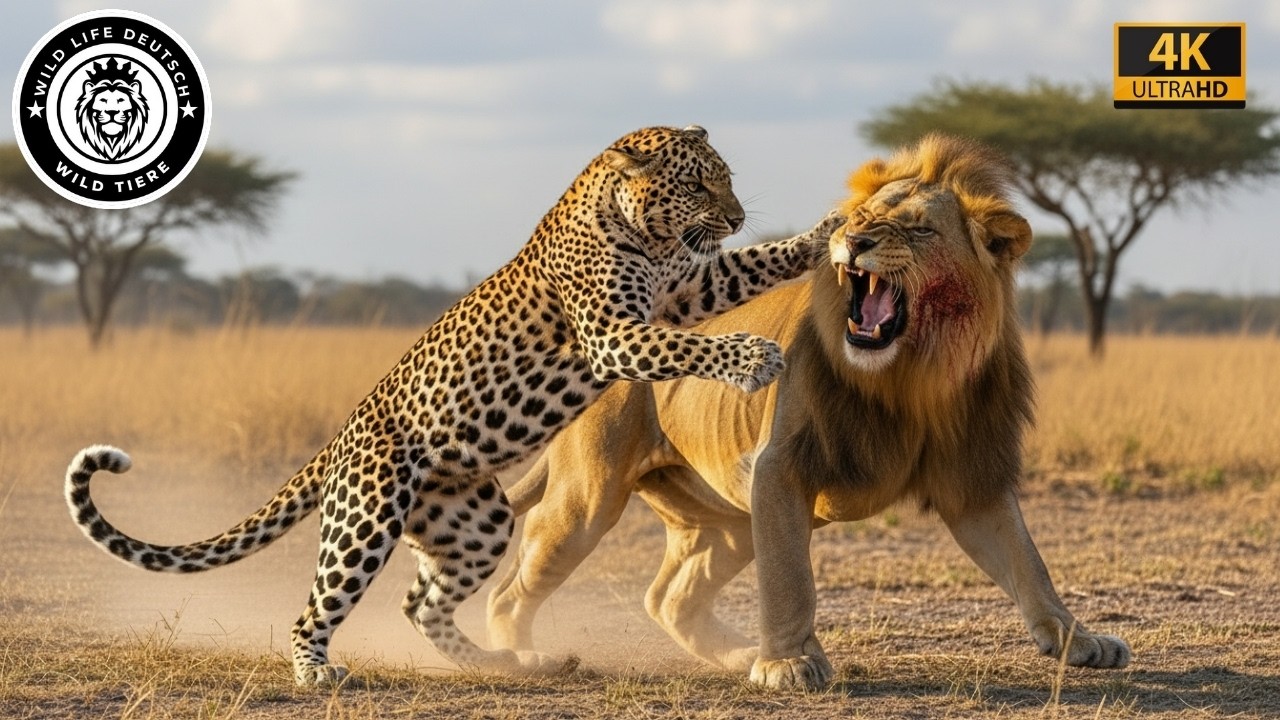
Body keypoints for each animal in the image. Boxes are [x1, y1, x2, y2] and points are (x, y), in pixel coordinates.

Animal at [65, 124, 844, 687]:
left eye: (727, 178)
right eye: (698, 183)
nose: (737, 215)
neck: (637, 232)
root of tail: (340, 439)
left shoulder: (687, 288)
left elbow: (752, 265)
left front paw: (823, 233)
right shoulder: (613, 334)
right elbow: (690, 345)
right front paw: (753, 358)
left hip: (476, 523)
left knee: (422, 604)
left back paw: (508, 663)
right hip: (365, 518)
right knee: (318, 606)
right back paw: (317, 672)